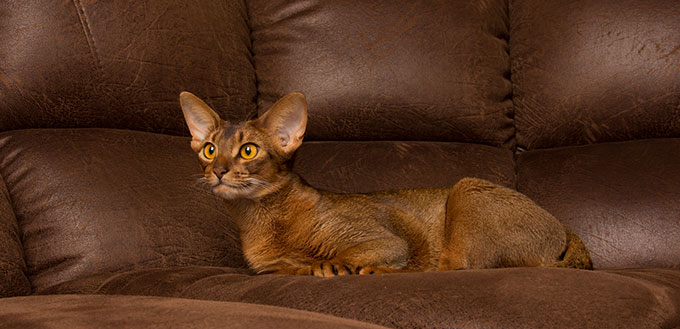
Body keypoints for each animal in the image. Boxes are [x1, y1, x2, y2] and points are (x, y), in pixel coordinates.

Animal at [178, 91, 592, 276]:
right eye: (210, 149)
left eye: (248, 150)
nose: (218, 170)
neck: (263, 220)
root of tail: (565, 229)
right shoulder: (267, 268)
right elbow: (287, 268)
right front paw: (307, 267)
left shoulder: (383, 241)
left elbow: (342, 256)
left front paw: (328, 267)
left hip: (468, 187)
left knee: (453, 268)